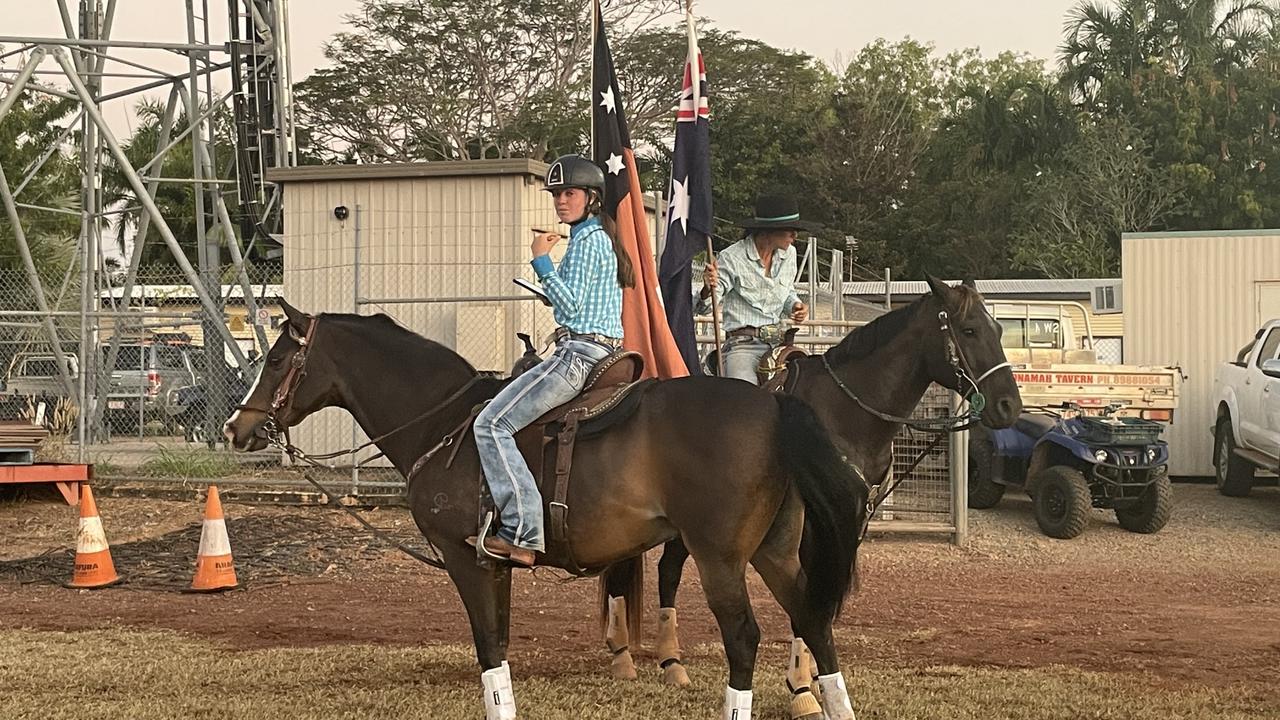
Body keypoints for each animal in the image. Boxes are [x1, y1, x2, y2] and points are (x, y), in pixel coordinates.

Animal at [227, 298, 870, 717]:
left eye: (277, 360)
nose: (237, 427)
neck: (443, 421)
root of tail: (771, 405)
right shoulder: (496, 563)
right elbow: (501, 645)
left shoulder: (463, 557)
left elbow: (488, 647)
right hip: (775, 552)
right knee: (814, 621)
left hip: (719, 559)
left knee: (743, 638)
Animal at [604, 272, 1024, 691]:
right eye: (969, 330)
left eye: (999, 329)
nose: (1009, 406)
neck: (844, 412)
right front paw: (801, 680)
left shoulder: (850, 520)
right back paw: (626, 654)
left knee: (665, 570)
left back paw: (669, 660)